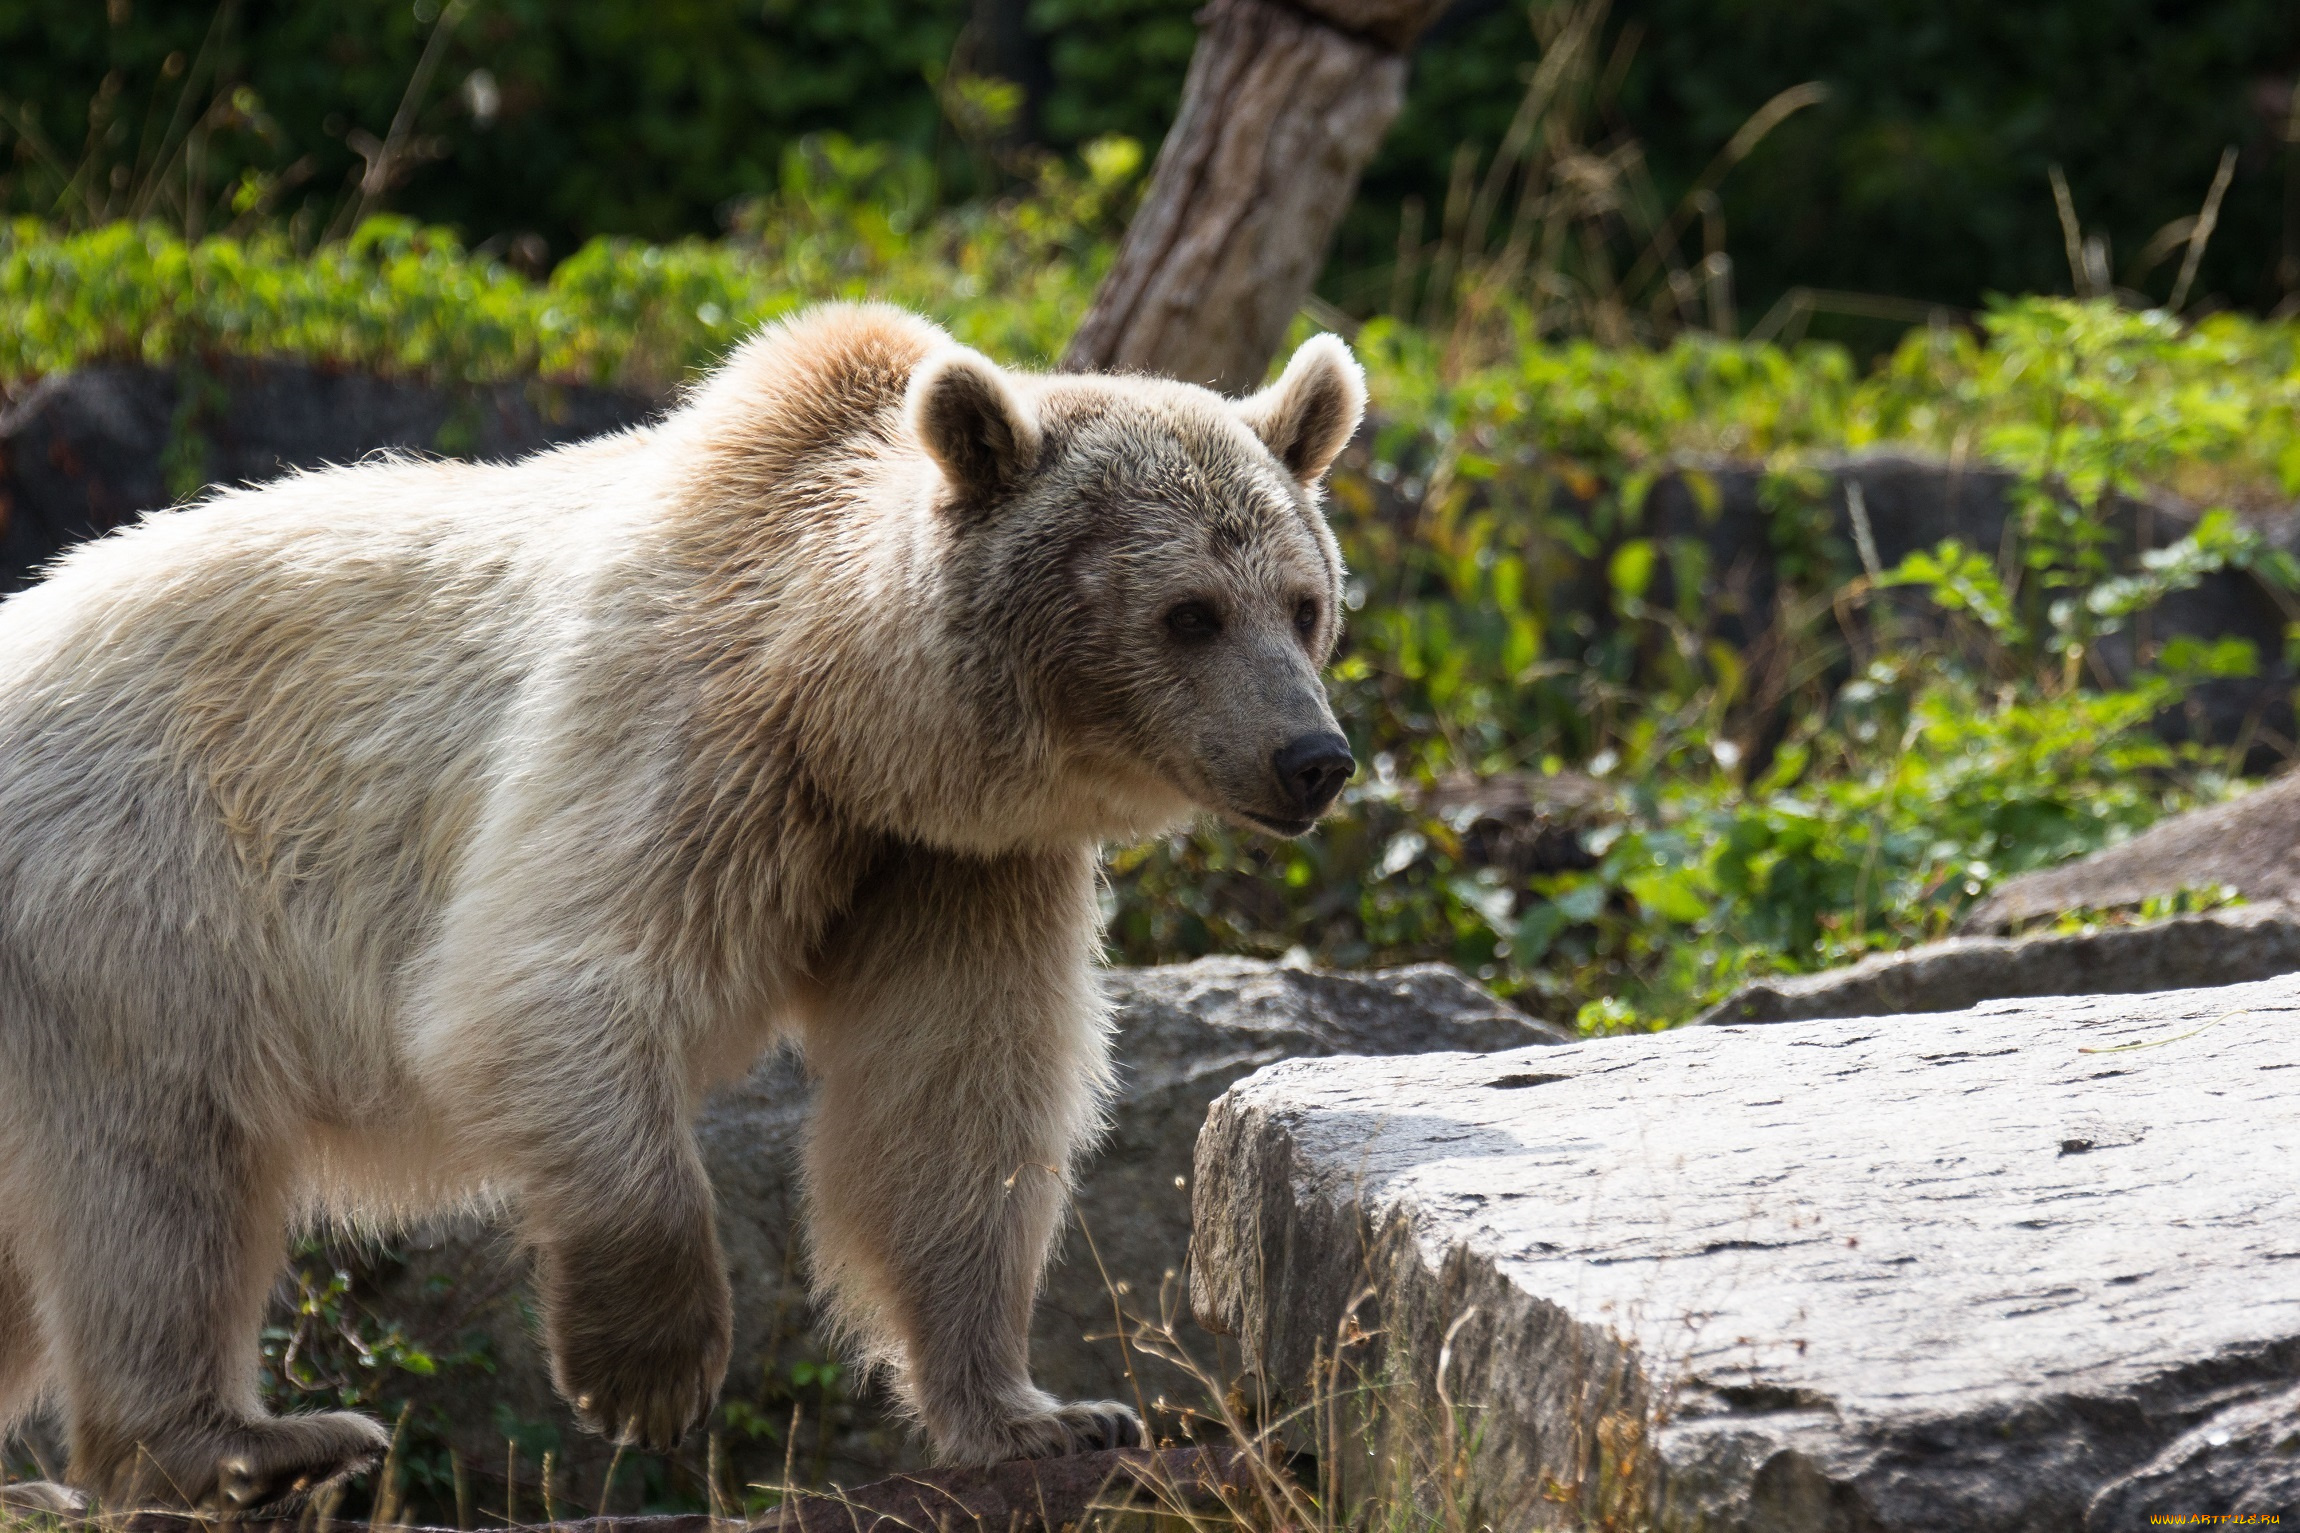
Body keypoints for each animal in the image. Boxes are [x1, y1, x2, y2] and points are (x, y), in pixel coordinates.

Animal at [0, 298, 1361, 1507]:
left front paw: (1045, 1412)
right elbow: (552, 983)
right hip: (135, 895)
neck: (850, 715)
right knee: (162, 1177)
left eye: (1305, 604)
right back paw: (249, 1442)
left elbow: (954, 1101)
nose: (1313, 758)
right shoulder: (685, 724)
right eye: (1188, 614)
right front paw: (646, 1370)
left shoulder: (951, 865)